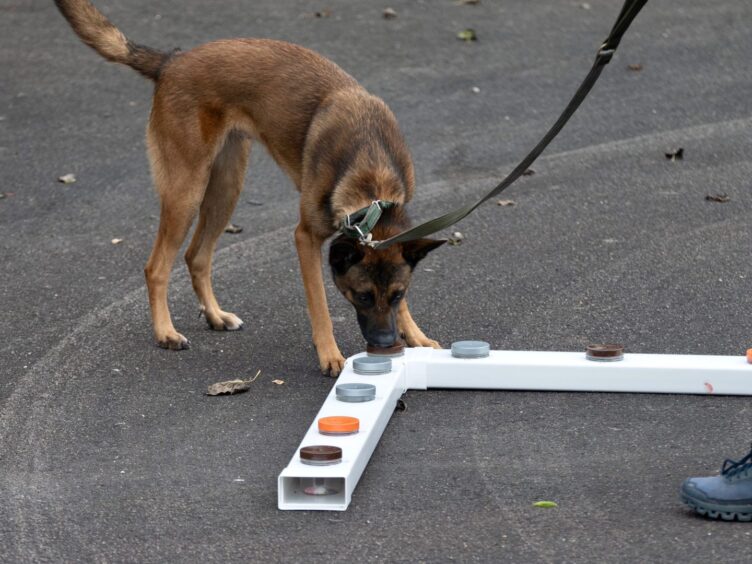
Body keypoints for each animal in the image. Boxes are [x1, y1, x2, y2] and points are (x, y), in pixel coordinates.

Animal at [58, 2, 446, 376]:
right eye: (362, 296)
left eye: (396, 295)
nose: (385, 342)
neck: (371, 175)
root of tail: (173, 60)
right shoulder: (305, 238)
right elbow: (320, 306)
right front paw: (329, 354)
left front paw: (415, 335)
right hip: (187, 193)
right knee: (156, 268)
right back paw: (166, 332)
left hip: (226, 189)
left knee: (196, 256)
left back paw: (215, 316)